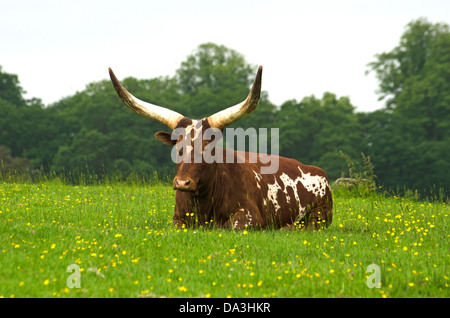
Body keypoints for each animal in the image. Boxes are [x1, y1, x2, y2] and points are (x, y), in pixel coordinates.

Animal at [109, 66, 332, 230]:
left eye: (207, 148)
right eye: (176, 147)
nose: (182, 183)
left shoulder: (250, 215)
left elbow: (229, 226)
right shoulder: (177, 218)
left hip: (320, 214)